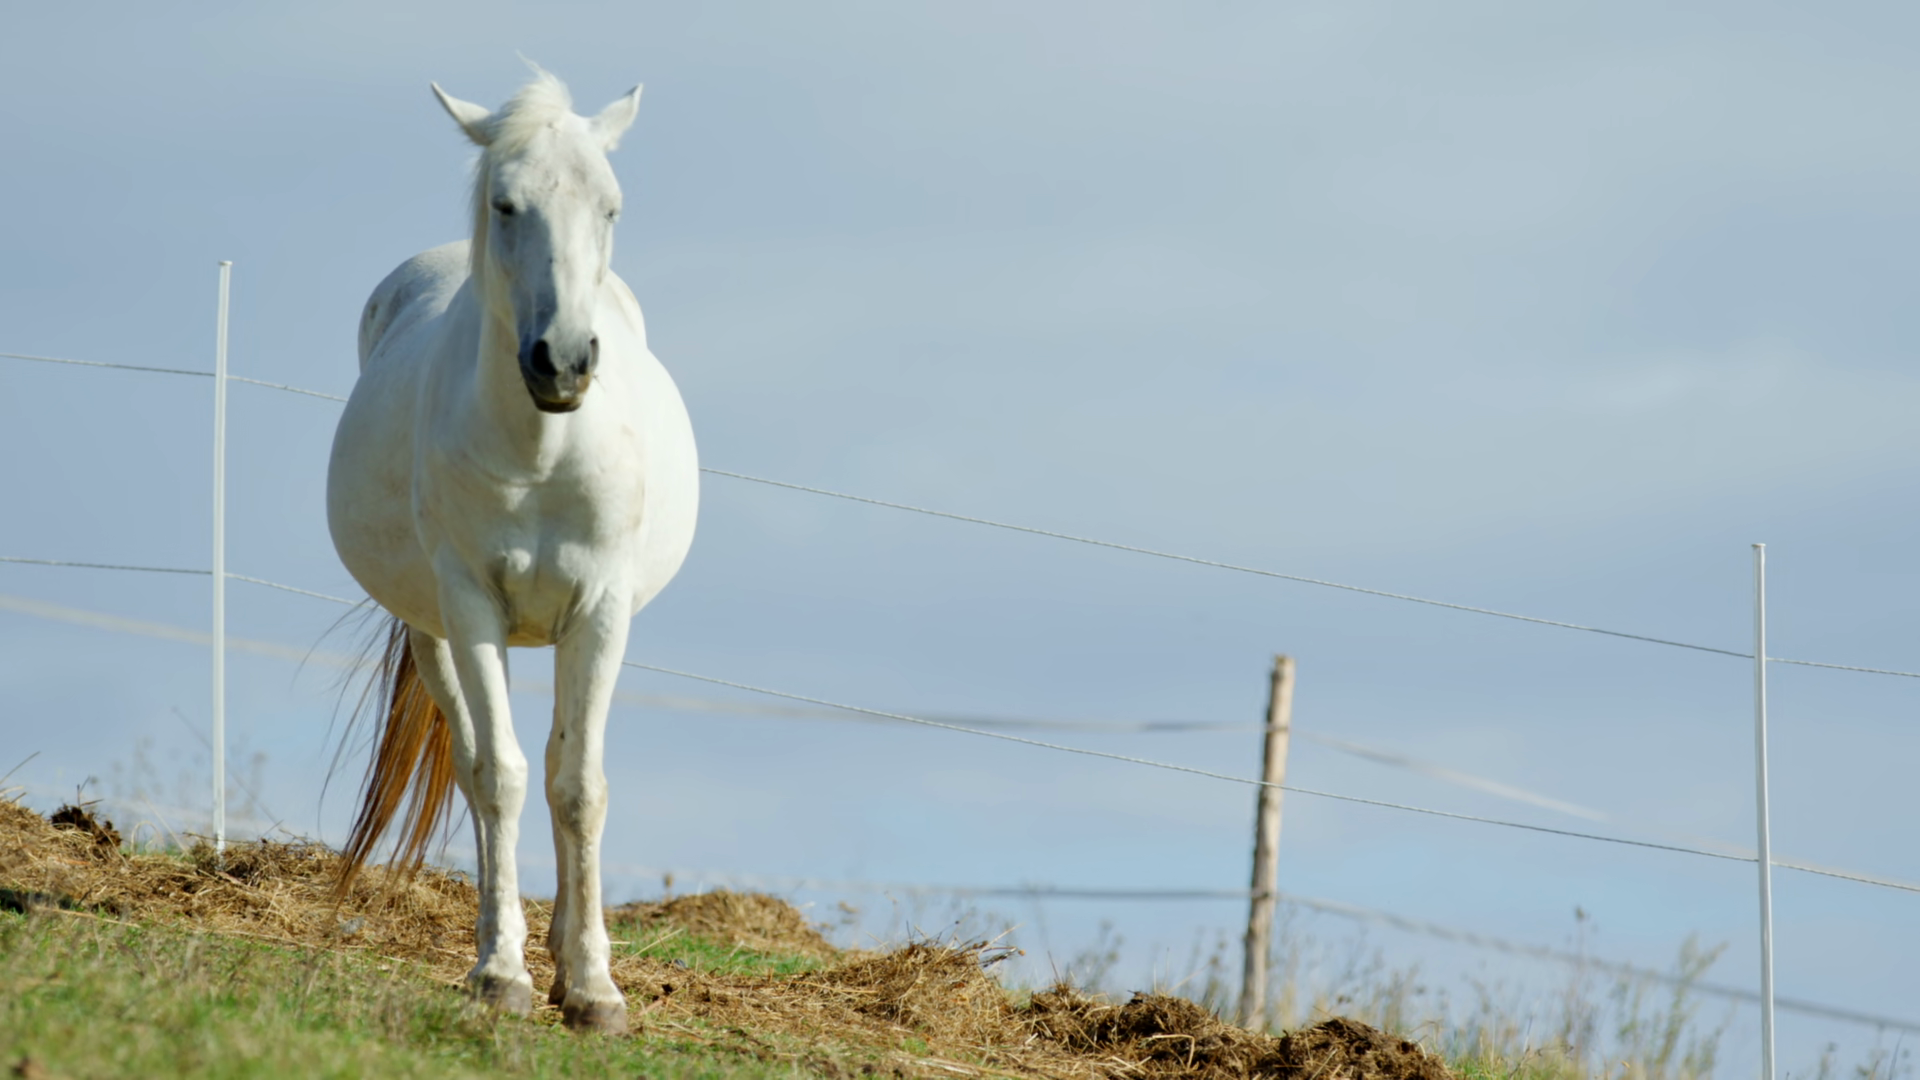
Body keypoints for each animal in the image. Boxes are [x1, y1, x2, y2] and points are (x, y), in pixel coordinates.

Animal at [325, 68, 699, 1034]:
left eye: (610, 206)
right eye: (505, 204)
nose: (561, 362)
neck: (542, 450)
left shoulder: (600, 611)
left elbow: (580, 785)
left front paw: (595, 986)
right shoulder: (470, 606)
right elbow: (500, 776)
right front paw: (502, 973)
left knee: (567, 764)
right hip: (431, 632)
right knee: (477, 766)